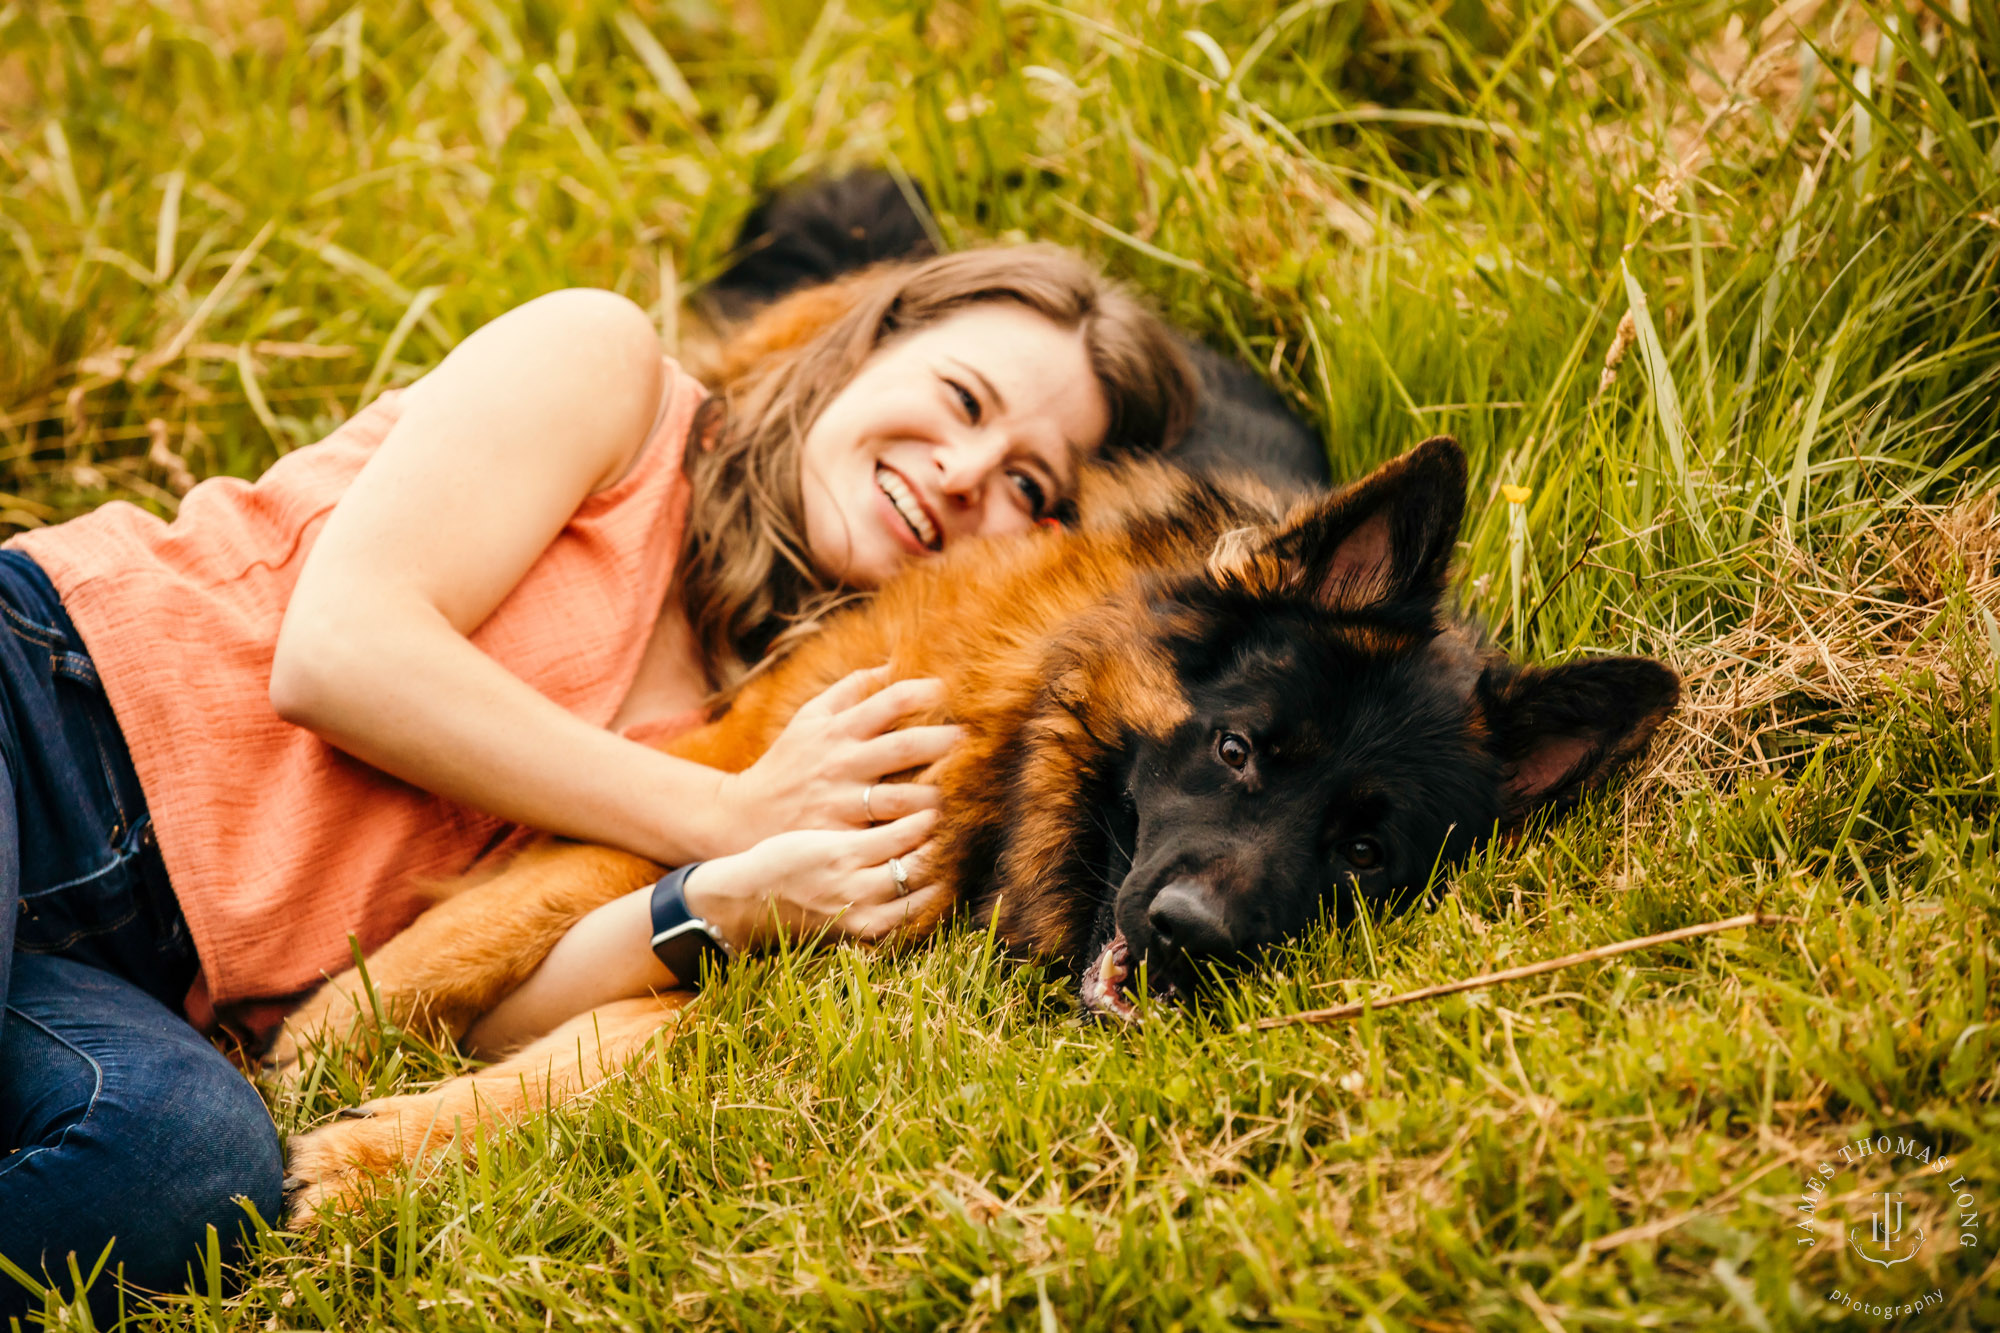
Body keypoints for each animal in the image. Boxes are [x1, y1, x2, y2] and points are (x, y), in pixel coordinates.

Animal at [270, 189, 1672, 1216]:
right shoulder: (741, 756)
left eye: (1365, 852)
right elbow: (514, 907)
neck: (1020, 749)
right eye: (1237, 749)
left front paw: (383, 1148)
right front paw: (320, 1048)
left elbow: (635, 1036)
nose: (1192, 938)